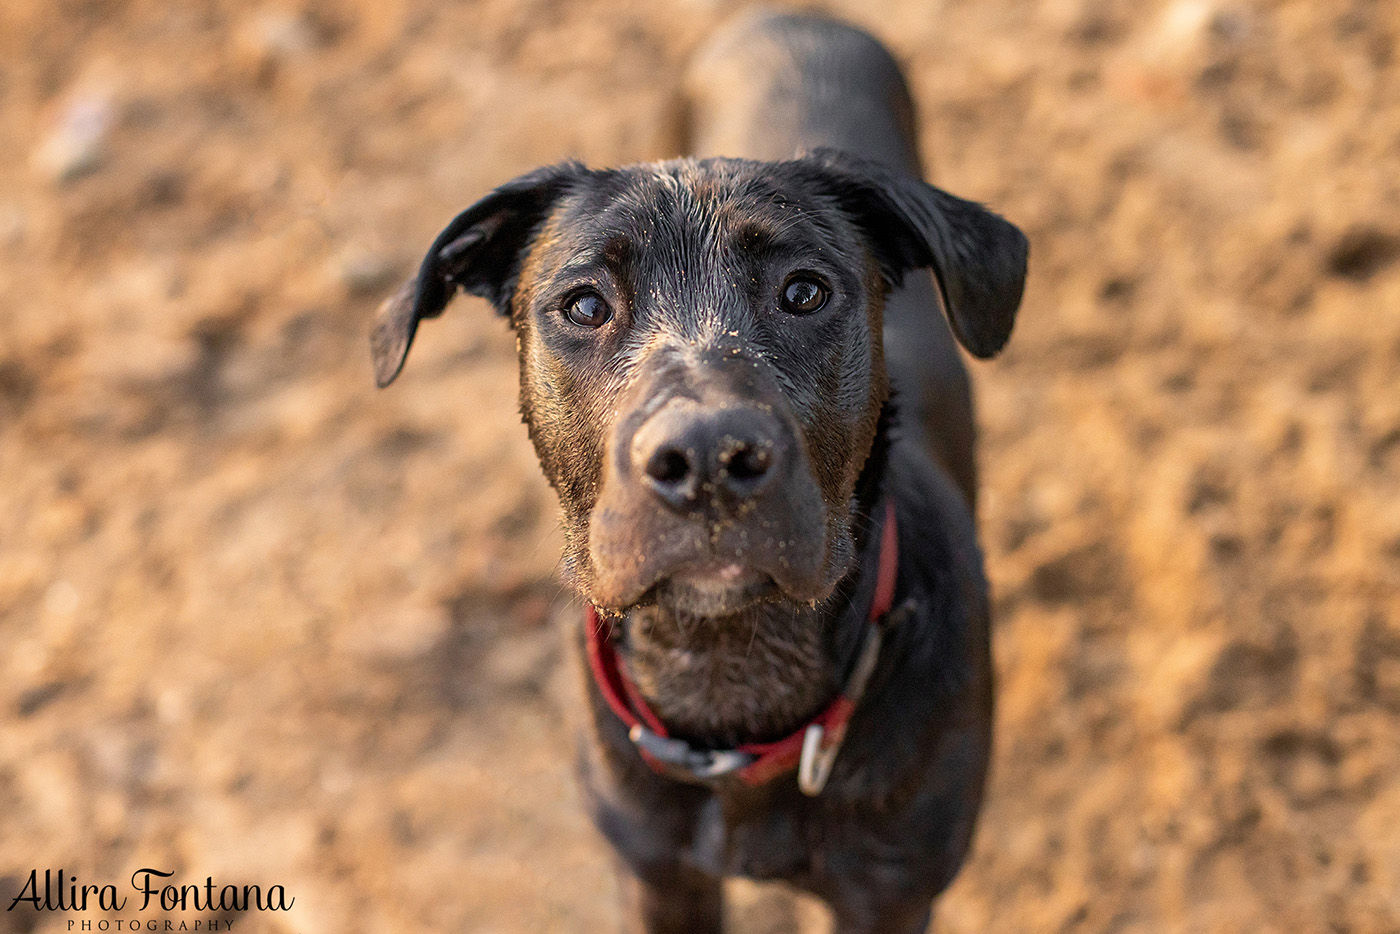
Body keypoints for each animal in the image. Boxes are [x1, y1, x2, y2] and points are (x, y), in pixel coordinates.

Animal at [372, 9, 1030, 934]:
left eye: (804, 292)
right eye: (584, 304)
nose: (708, 458)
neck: (728, 668)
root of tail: (798, 17)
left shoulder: (890, 894)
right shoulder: (656, 875)